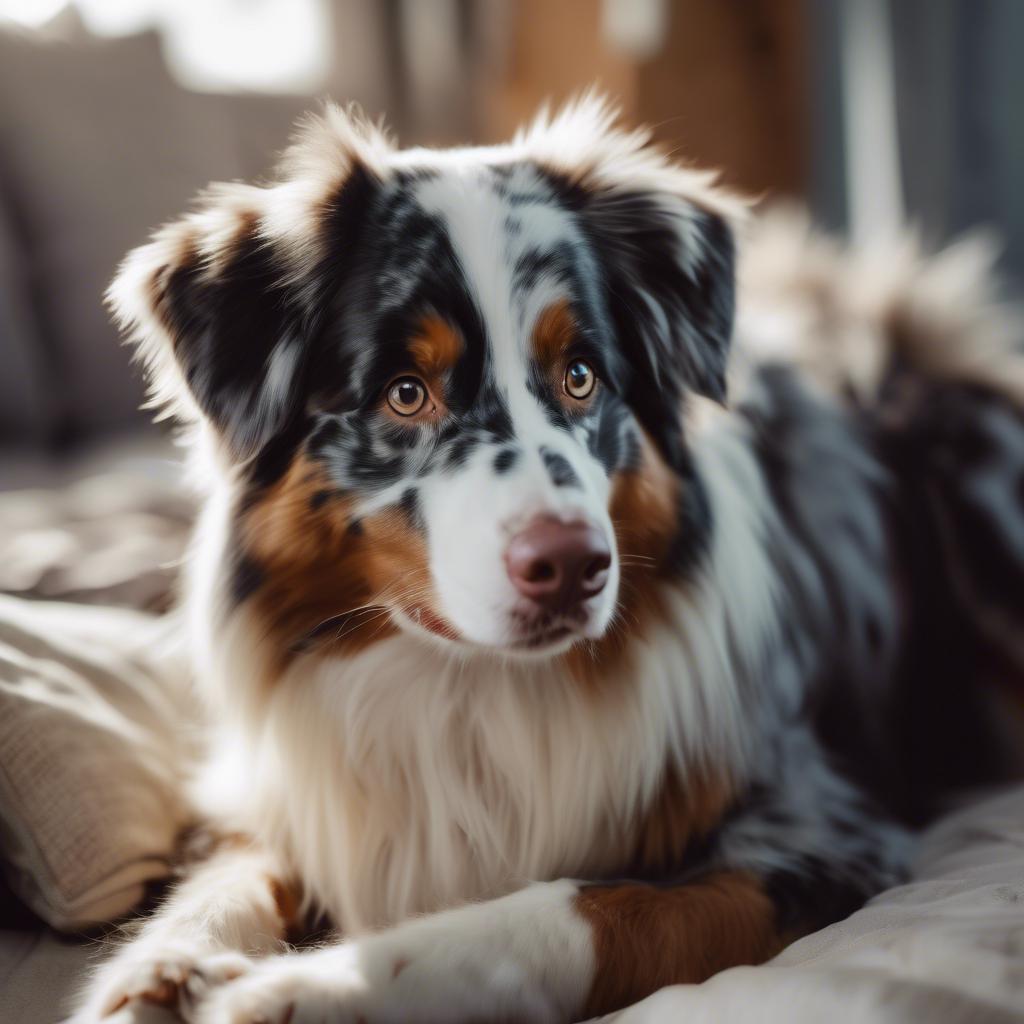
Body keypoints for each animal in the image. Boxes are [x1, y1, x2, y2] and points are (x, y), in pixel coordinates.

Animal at [74, 97, 1024, 1024]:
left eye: (581, 376)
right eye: (406, 394)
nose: (574, 566)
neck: (467, 689)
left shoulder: (819, 829)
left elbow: (575, 911)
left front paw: (296, 990)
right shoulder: (278, 804)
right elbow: (219, 884)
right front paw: (164, 971)